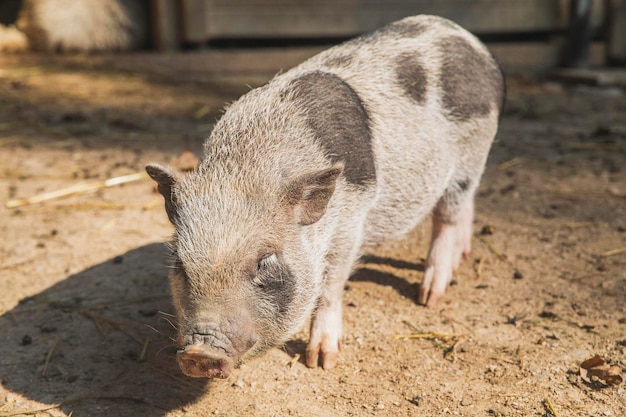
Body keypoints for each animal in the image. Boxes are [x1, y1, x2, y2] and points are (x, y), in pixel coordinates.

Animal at [146, 15, 502, 376]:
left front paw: (320, 362)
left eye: (264, 261)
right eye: (180, 263)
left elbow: (331, 285)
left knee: (450, 213)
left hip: (472, 153)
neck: (249, 168)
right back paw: (462, 258)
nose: (199, 352)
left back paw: (429, 296)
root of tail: (465, 36)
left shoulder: (352, 219)